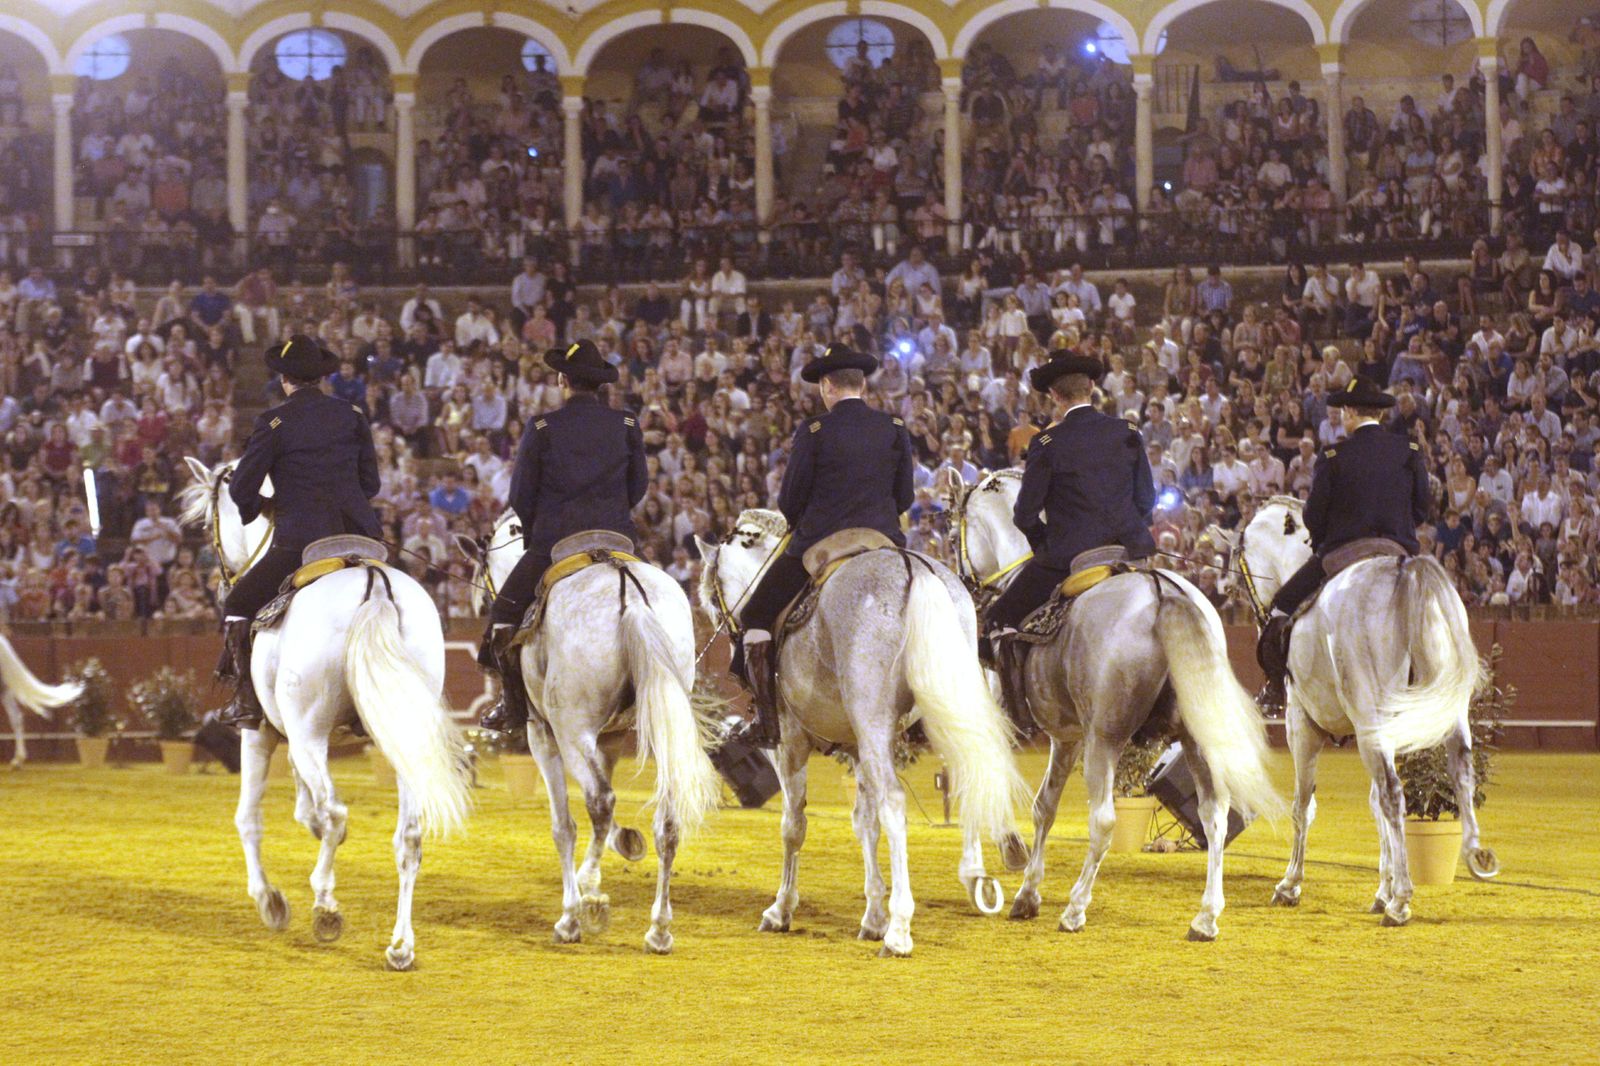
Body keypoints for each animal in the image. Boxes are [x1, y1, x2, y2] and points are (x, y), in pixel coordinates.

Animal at [178, 457, 471, 970]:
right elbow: (304, 807)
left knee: (337, 812)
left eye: (207, 521)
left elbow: (249, 818)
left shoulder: (260, 734)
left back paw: (326, 908)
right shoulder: (300, 741)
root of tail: (375, 587)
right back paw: (400, 944)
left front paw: (271, 902)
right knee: (409, 837)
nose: (220, 583)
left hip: (309, 734)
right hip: (400, 738)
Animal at [458, 509, 720, 954]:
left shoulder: (544, 738)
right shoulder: (609, 739)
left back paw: (579, 906)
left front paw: (579, 904)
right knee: (666, 820)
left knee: (600, 801)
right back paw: (658, 929)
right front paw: (622, 846)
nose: (479, 604)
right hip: (662, 723)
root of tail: (631, 595)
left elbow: (564, 825)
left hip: (569, 731)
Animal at [695, 509, 1029, 958]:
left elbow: (793, 824)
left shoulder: (790, 743)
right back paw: (979, 875)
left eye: (710, 594)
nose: (723, 634)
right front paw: (872, 915)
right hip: (948, 712)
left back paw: (901, 930)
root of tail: (911, 568)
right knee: (968, 778)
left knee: (895, 803)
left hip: (873, 727)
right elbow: (864, 823)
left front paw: (781, 910)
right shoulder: (856, 748)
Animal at [940, 469, 1282, 941]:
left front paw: (1004, 869)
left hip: (1105, 740)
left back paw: (1075, 908)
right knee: (1214, 815)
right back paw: (1206, 917)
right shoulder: (1065, 738)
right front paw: (1026, 890)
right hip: (1195, 739)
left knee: (1103, 820)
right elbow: (1044, 806)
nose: (964, 586)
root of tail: (1163, 592)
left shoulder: (1030, 730)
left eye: (950, 530)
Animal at [1227, 496, 1496, 925]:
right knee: (1460, 771)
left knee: (1394, 795)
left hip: (1369, 724)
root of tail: (1405, 572)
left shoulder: (1302, 727)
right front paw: (1381, 889)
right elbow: (1374, 807)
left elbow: (1303, 805)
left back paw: (1402, 901)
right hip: (1441, 718)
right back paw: (1474, 855)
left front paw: (1290, 884)